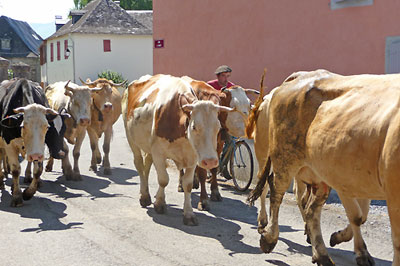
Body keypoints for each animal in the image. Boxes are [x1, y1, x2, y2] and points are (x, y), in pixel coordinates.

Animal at [123, 74, 233, 225]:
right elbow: (163, 179)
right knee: (139, 165)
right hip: (131, 139)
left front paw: (189, 214)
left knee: (147, 166)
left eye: (218, 127)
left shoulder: (193, 157)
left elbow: (188, 184)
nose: (210, 161)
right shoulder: (158, 152)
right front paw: (160, 204)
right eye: (194, 126)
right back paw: (144, 196)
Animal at [247, 70, 400, 266]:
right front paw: (358, 251)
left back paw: (321, 254)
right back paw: (268, 236)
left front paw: (351, 245)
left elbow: (361, 215)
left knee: (310, 208)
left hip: (318, 172)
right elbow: (358, 216)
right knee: (274, 190)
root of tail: (301, 76)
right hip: (282, 156)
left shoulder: (356, 180)